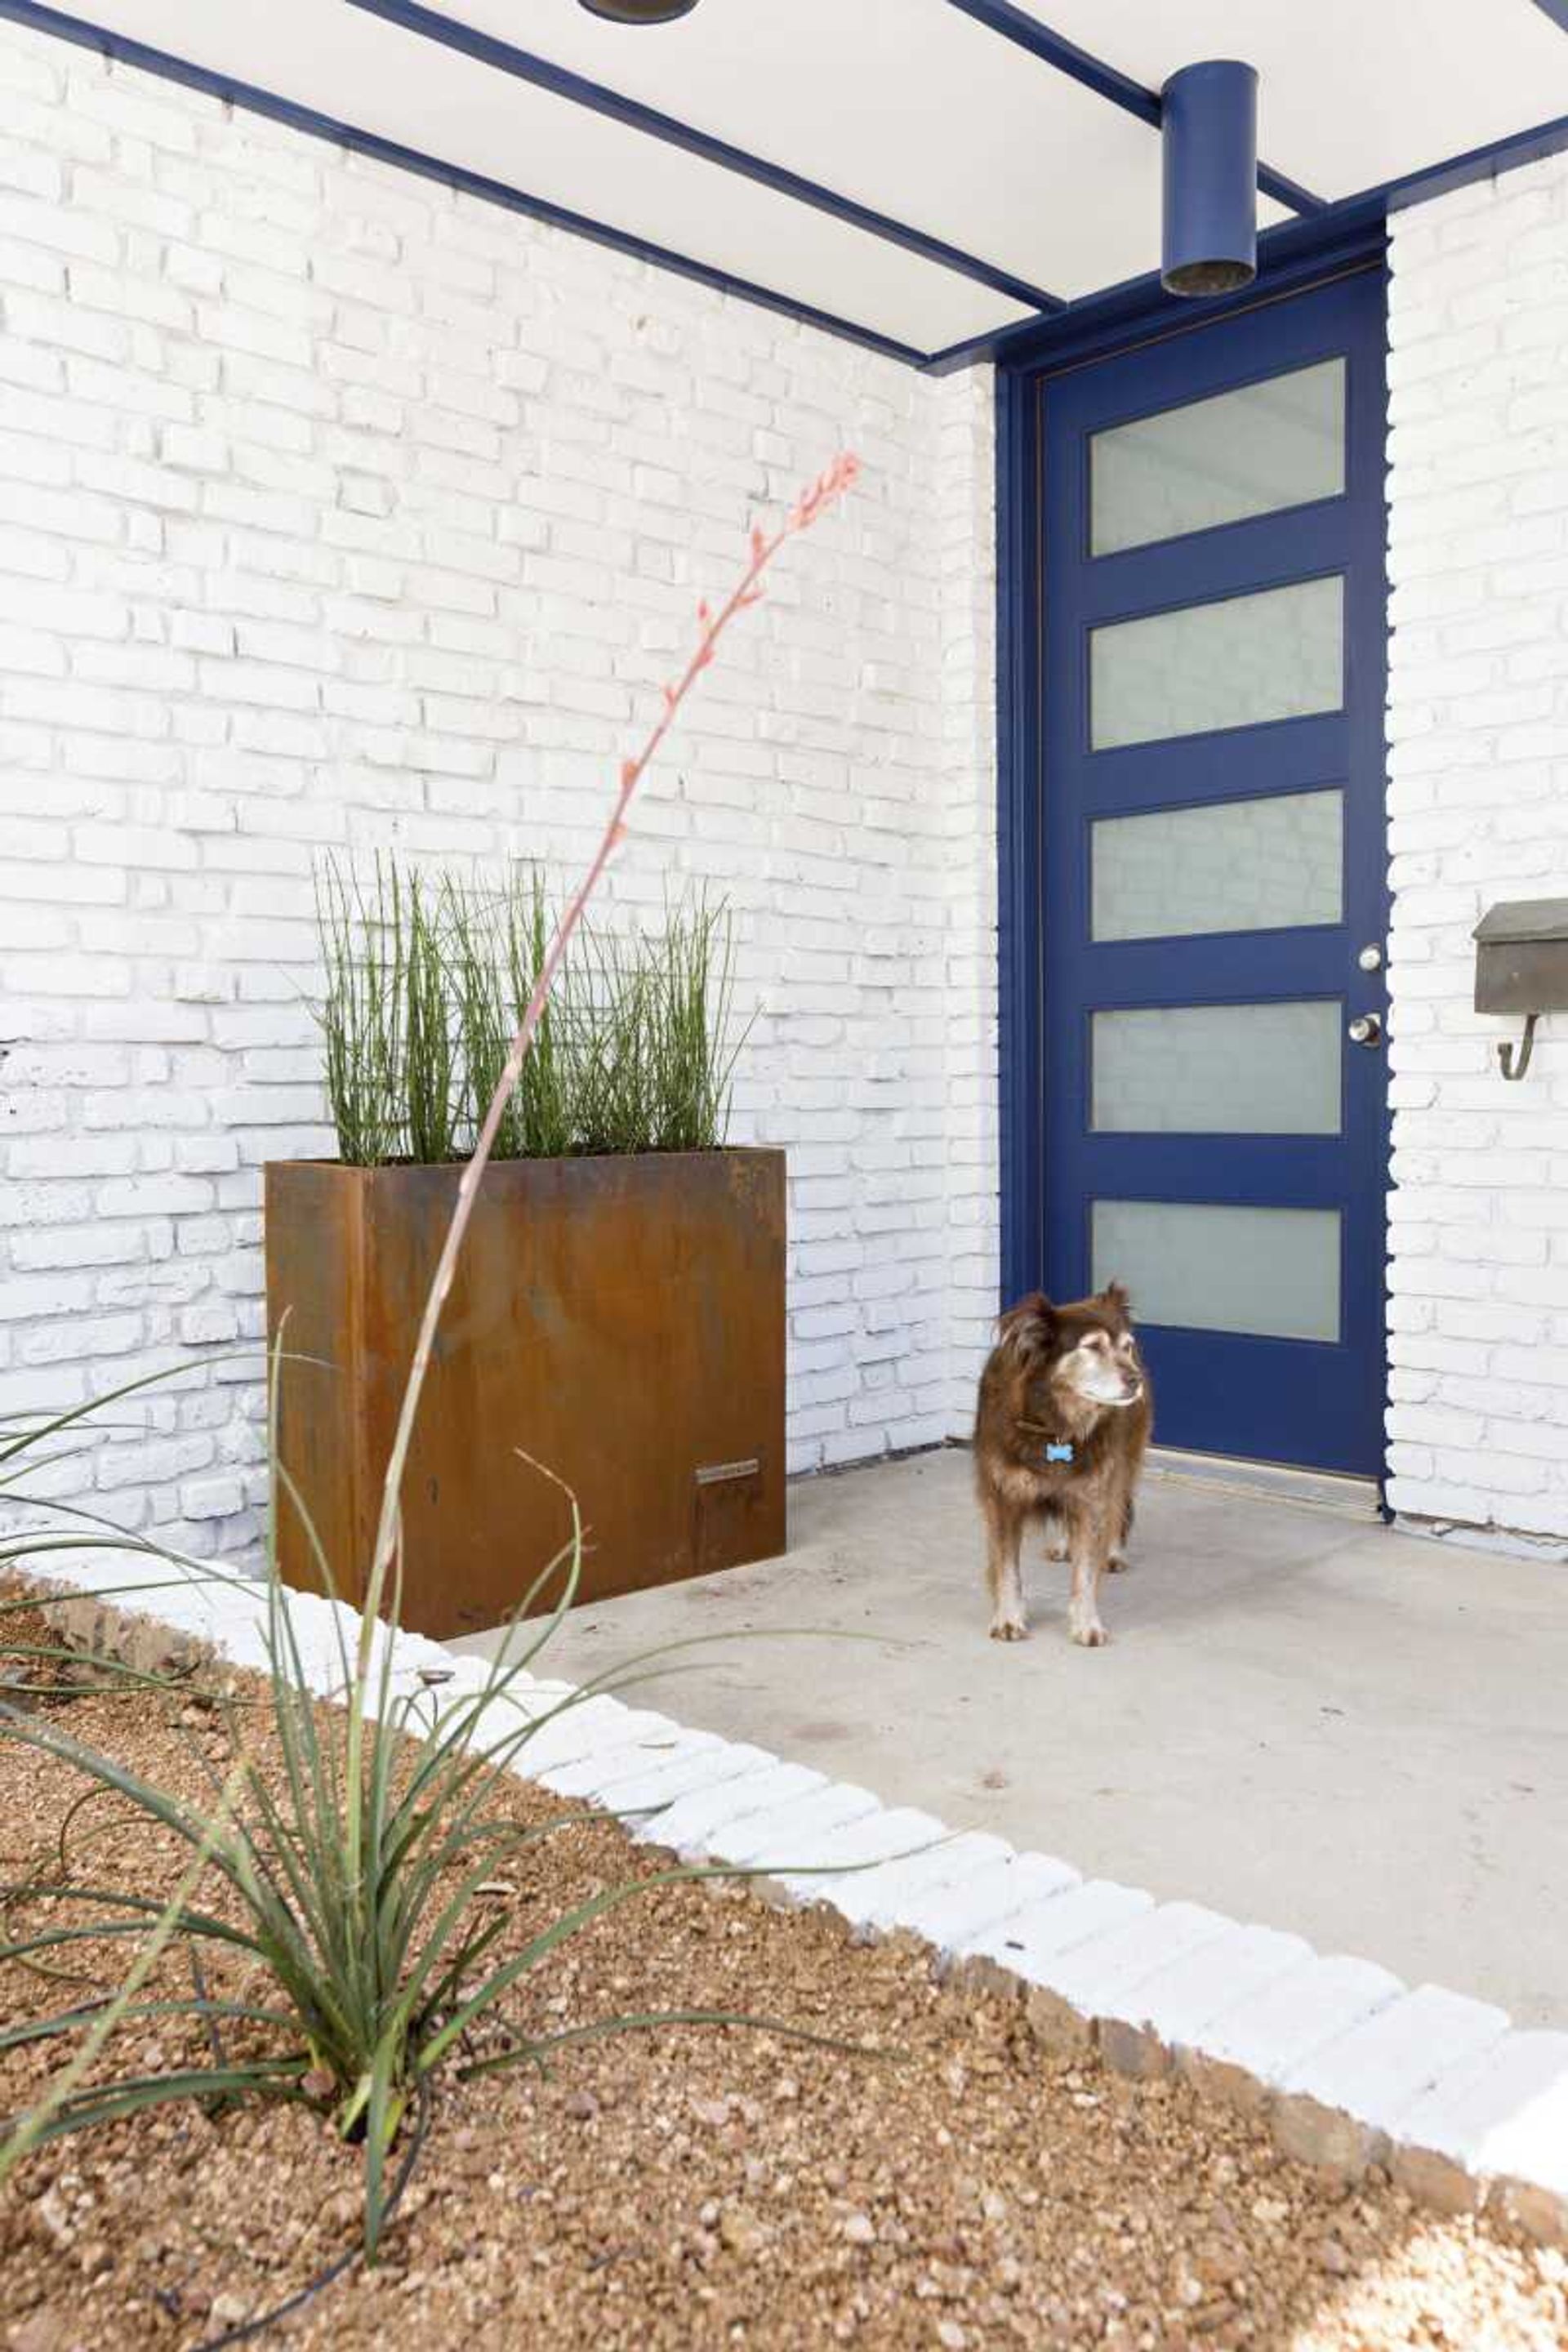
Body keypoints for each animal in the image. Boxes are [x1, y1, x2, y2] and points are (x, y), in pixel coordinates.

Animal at [968, 1289, 1152, 1655]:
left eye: (1126, 1346)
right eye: (1092, 1346)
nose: (1136, 1381)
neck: (1055, 1423)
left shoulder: (1091, 1493)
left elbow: (1086, 1572)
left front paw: (1087, 1624)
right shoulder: (1004, 1497)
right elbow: (1007, 1568)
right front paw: (1008, 1619)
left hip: (1123, 1459)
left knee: (1119, 1504)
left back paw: (1113, 1551)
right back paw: (1065, 1545)